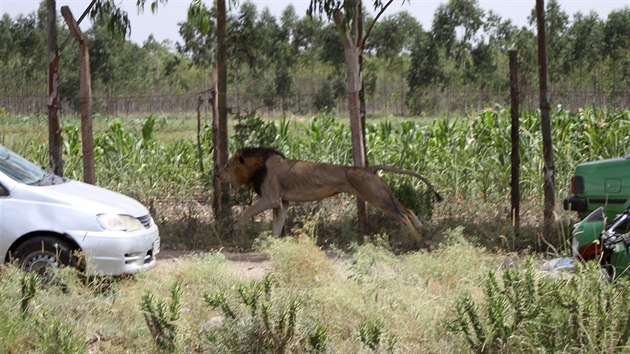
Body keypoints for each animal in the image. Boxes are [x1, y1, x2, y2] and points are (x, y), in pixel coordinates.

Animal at [220, 147, 442, 235]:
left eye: (227, 166)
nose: (216, 174)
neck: (257, 167)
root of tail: (367, 169)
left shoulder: (271, 198)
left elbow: (245, 213)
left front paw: (236, 230)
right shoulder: (283, 202)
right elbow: (277, 225)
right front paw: (273, 244)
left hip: (375, 196)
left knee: (402, 216)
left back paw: (415, 238)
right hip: (382, 193)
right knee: (407, 210)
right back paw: (423, 231)